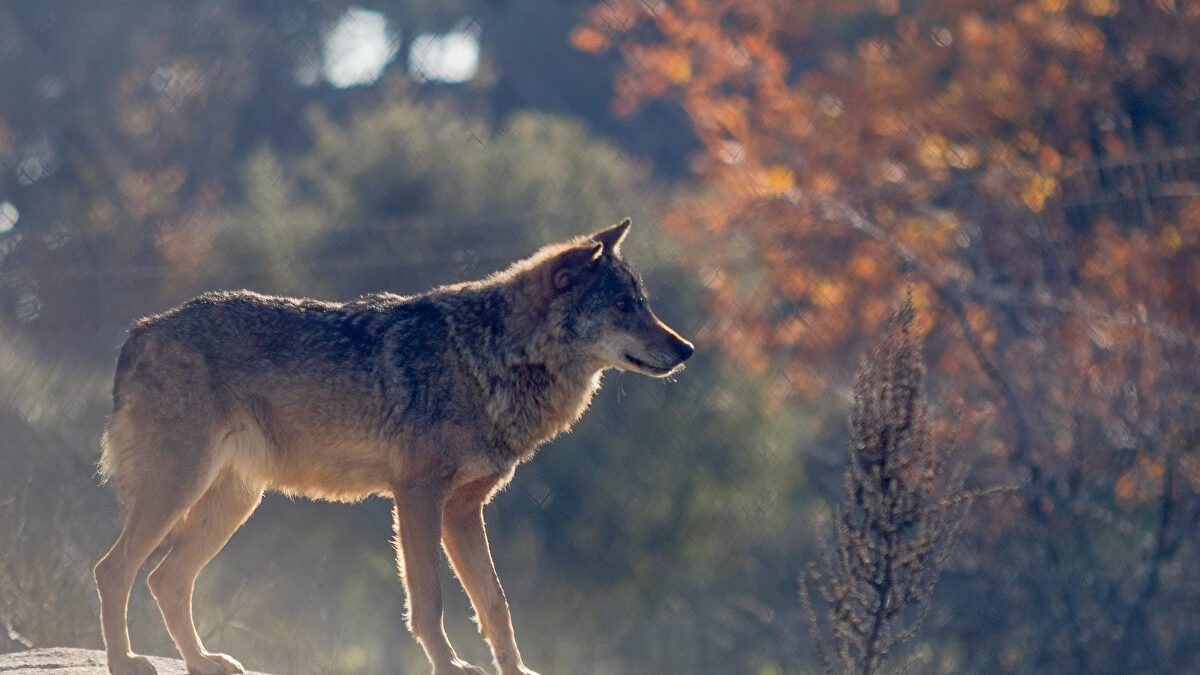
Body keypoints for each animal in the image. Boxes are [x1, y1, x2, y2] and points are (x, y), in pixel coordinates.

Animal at [93, 219, 693, 675]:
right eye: (623, 305)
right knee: (114, 570)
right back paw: (125, 662)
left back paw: (201, 661)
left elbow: (495, 605)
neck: (487, 357)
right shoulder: (418, 496)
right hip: (181, 491)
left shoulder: (464, 509)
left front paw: (516, 671)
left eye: (642, 302)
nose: (686, 348)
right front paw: (450, 667)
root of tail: (139, 329)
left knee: (165, 580)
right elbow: (429, 601)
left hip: (233, 503)